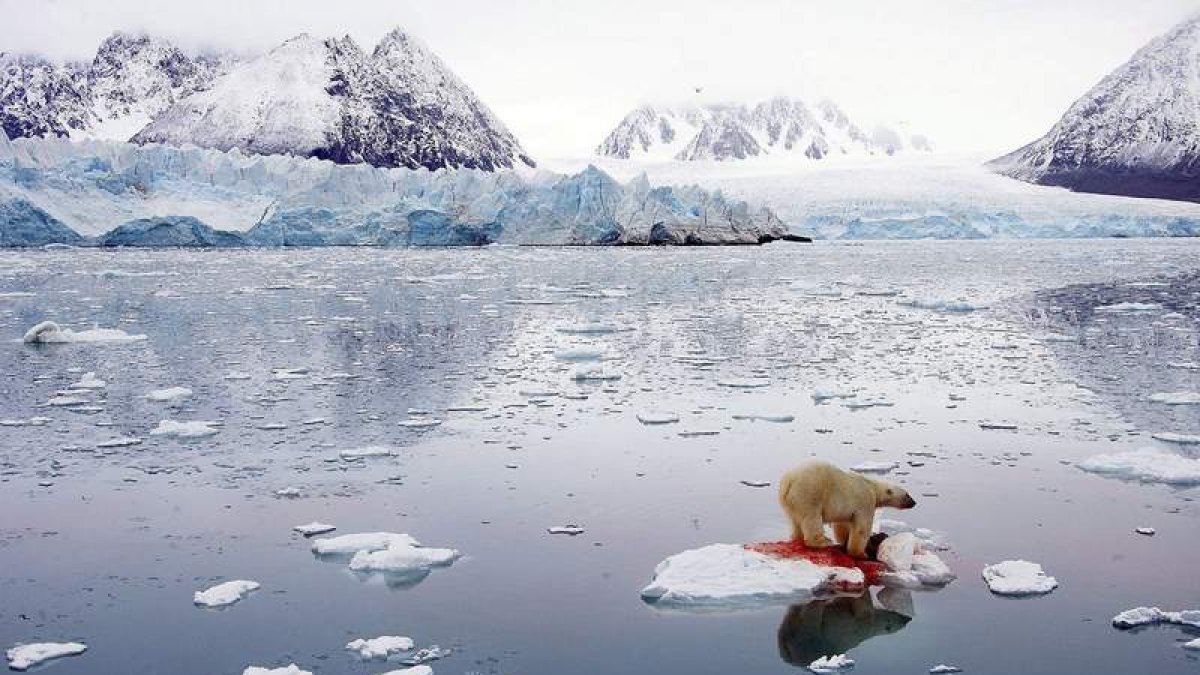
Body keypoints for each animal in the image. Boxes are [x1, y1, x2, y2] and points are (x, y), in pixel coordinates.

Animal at [778, 461, 916, 559]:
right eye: (907, 495)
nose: (914, 503)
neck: (872, 487)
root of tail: (788, 481)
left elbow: (843, 524)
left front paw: (844, 541)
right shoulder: (865, 501)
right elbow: (861, 528)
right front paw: (861, 553)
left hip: (790, 502)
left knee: (795, 521)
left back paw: (797, 538)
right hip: (809, 493)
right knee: (812, 518)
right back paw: (823, 542)